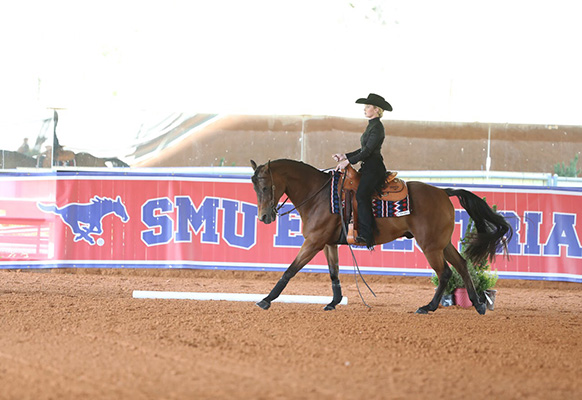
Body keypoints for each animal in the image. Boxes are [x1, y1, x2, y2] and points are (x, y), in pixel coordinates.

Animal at [249, 159, 512, 316]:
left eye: (265, 187)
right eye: (254, 188)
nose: (264, 217)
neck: (319, 196)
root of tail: (442, 191)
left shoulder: (313, 242)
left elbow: (290, 270)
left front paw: (266, 299)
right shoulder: (328, 243)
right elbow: (334, 274)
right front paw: (334, 302)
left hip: (430, 246)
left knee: (445, 272)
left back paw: (428, 307)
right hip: (441, 243)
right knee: (461, 265)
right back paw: (478, 304)